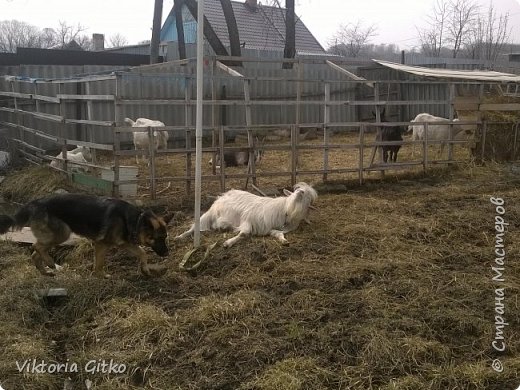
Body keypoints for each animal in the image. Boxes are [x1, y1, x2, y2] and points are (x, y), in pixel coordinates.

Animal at [0, 194, 175, 278]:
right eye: (158, 238)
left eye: (165, 237)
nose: (167, 253)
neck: (134, 219)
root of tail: (33, 203)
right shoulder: (102, 244)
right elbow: (100, 263)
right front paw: (100, 276)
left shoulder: (124, 244)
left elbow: (143, 253)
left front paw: (145, 270)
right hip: (62, 233)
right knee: (35, 246)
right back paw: (50, 263)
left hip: (54, 236)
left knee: (35, 253)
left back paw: (46, 271)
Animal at [175, 182, 316, 247]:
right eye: (296, 191)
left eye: (308, 197)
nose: (300, 192)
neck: (286, 211)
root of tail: (226, 193)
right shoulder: (249, 219)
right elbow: (244, 233)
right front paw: (228, 242)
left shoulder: (272, 229)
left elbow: (279, 234)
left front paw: (284, 241)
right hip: (210, 213)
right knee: (194, 227)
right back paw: (180, 237)